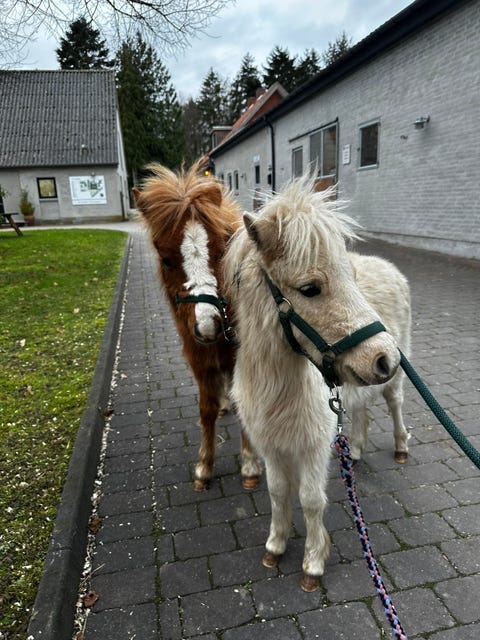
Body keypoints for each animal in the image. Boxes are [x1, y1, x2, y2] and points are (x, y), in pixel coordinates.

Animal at [133, 163, 262, 491]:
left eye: (222, 248)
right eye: (166, 259)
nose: (208, 326)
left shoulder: (237, 355)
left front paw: (250, 466)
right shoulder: (199, 358)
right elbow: (206, 409)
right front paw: (204, 466)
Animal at [224, 175, 411, 591]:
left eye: (351, 278)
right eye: (310, 288)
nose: (383, 358)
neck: (280, 387)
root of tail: (391, 267)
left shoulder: (312, 446)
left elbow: (310, 500)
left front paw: (312, 563)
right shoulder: (270, 443)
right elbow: (278, 492)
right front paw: (275, 547)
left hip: (395, 381)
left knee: (393, 404)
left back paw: (401, 448)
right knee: (362, 410)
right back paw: (354, 450)